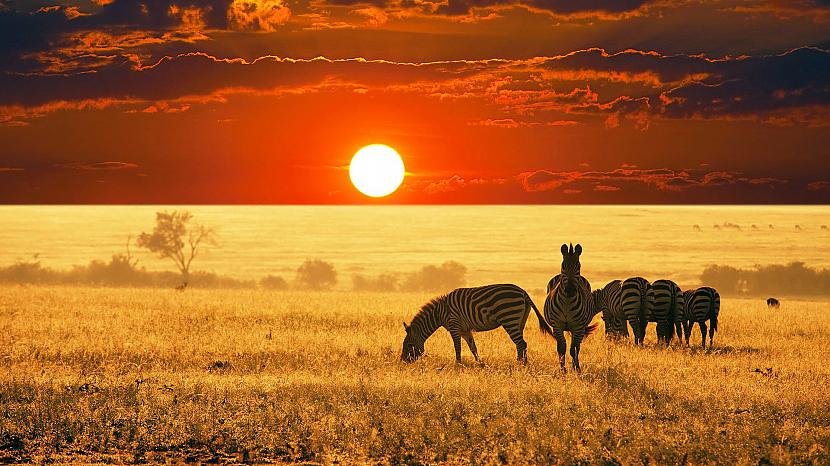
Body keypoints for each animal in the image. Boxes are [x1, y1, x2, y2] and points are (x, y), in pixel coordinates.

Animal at [404, 282, 552, 366]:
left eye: (409, 345)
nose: (403, 362)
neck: (439, 313)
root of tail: (523, 291)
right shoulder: (465, 330)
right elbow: (473, 347)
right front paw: (480, 363)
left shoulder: (454, 325)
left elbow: (457, 348)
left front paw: (458, 365)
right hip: (519, 321)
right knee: (520, 344)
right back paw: (520, 363)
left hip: (509, 317)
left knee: (521, 343)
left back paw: (521, 365)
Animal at [544, 244, 600, 372]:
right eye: (563, 265)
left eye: (578, 266)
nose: (570, 289)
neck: (567, 302)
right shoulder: (557, 325)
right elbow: (561, 348)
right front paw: (563, 370)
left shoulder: (577, 326)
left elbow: (573, 349)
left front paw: (576, 369)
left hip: (580, 328)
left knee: (577, 347)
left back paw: (576, 366)